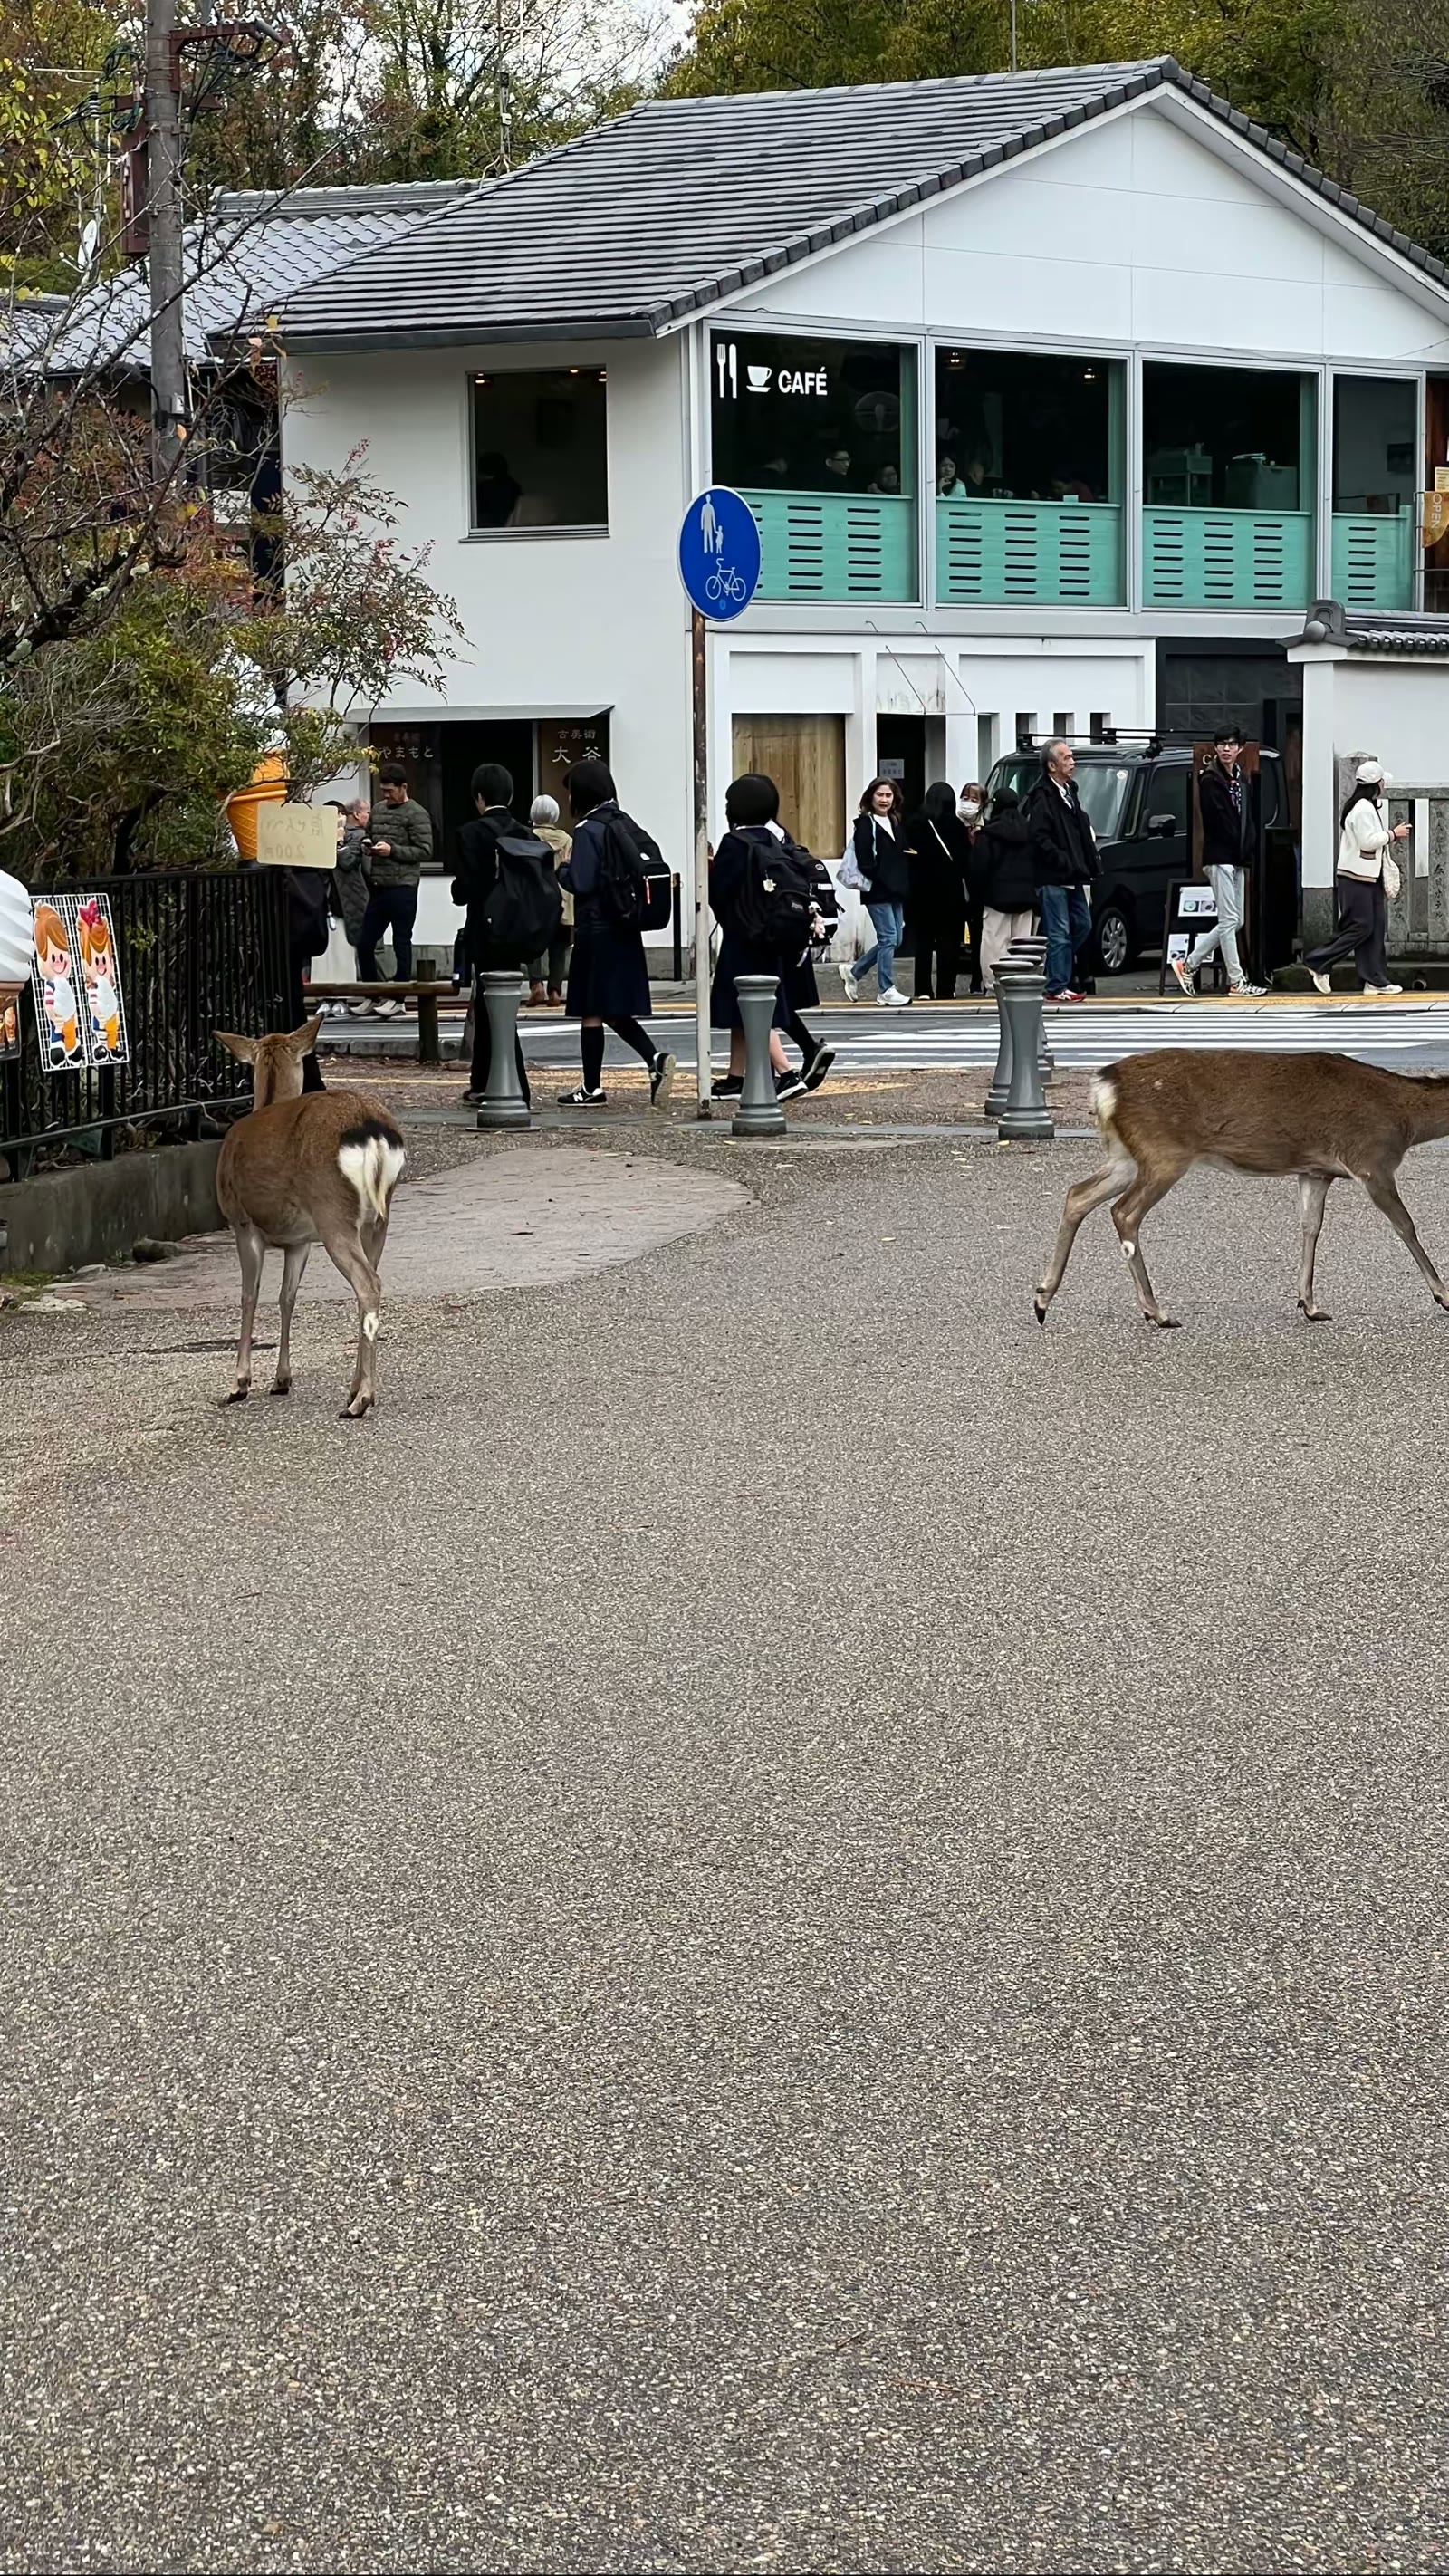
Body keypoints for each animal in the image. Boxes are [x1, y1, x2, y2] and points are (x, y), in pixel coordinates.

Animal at [213, 1019, 406, 1417]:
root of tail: (372, 1130)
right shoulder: (299, 1240)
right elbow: (287, 1296)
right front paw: (281, 1380)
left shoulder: (241, 1222)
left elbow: (249, 1295)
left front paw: (240, 1383)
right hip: (378, 1218)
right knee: (371, 1282)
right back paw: (356, 1391)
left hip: (331, 1210)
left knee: (368, 1282)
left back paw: (361, 1401)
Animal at [1034, 1049, 1449, 1332]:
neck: (1406, 1121)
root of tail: (1104, 1085)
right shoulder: (1371, 1160)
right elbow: (1405, 1225)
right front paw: (1443, 1295)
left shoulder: (1316, 1171)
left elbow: (1310, 1227)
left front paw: (1309, 1304)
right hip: (1164, 1153)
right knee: (1124, 1211)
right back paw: (1157, 1311)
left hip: (1127, 1156)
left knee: (1077, 1194)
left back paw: (1042, 1299)